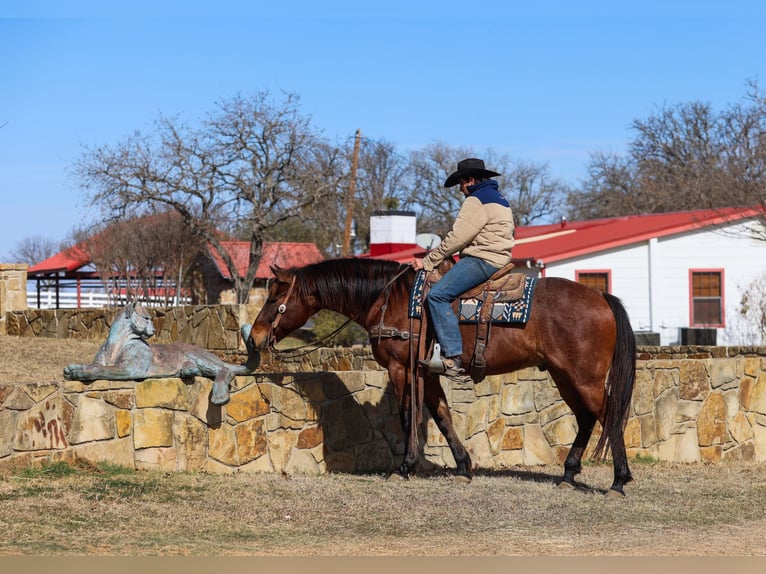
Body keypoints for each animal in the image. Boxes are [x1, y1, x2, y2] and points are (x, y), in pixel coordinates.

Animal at [246, 257, 636, 496]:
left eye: (274, 300)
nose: (254, 337)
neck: (389, 300)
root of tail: (601, 296)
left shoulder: (401, 368)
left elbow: (407, 415)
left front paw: (404, 467)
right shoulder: (428, 374)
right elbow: (443, 416)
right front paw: (463, 466)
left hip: (584, 378)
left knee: (610, 416)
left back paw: (619, 481)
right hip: (564, 375)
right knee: (587, 418)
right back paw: (569, 474)